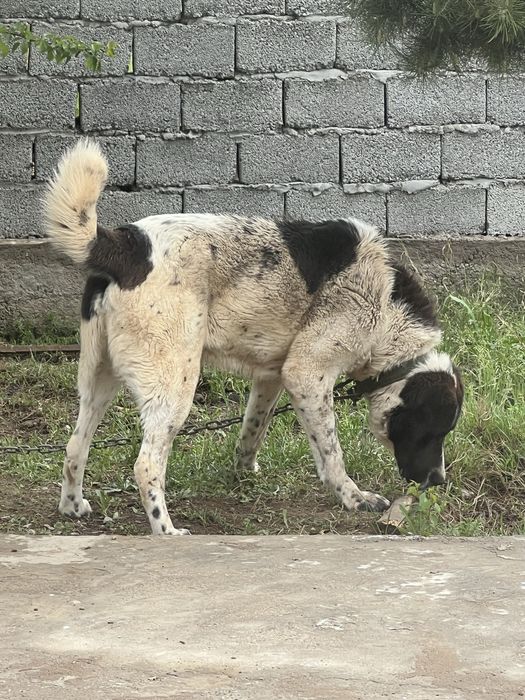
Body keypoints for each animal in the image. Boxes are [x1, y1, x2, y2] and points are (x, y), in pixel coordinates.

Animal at [43, 139, 463, 535]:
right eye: (433, 430)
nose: (438, 481)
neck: (389, 312)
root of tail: (123, 246)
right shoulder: (306, 375)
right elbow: (331, 453)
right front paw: (353, 497)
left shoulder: (272, 377)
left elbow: (253, 429)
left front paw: (244, 471)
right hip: (175, 384)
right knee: (146, 465)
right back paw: (166, 530)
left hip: (98, 379)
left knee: (75, 445)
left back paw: (72, 506)